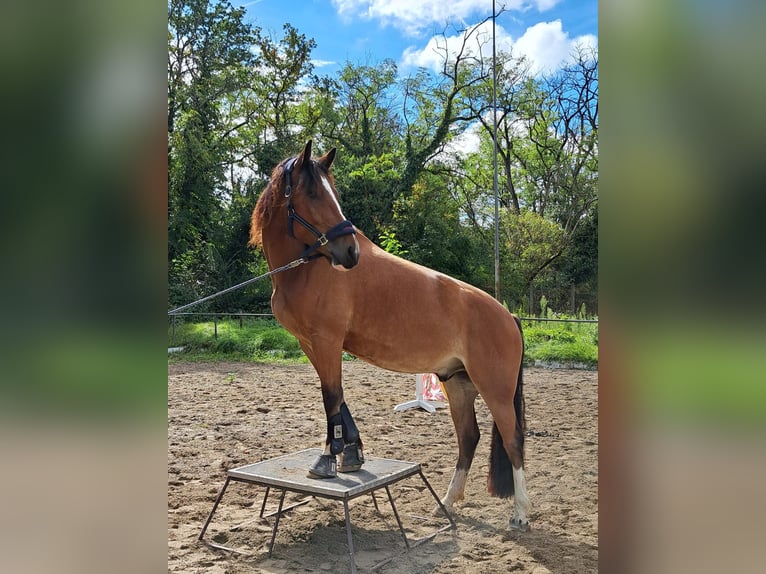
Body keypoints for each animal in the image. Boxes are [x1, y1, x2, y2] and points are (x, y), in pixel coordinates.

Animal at [249, 143, 532, 532]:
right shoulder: (313, 344)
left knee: (512, 439)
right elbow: (337, 397)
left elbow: (331, 397)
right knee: (469, 438)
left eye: (331, 192)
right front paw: (352, 453)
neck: (308, 269)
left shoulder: (326, 341)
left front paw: (328, 459)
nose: (350, 252)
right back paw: (447, 502)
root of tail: (508, 316)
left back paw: (520, 513)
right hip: (458, 385)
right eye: (313, 192)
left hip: (496, 389)